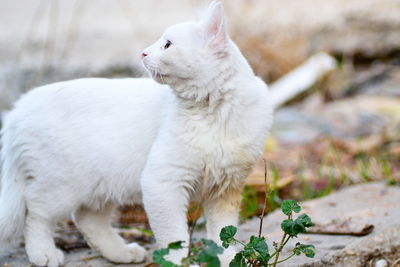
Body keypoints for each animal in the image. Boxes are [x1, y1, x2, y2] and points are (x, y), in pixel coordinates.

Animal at [0, 2, 272, 267]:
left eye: (167, 44)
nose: (143, 53)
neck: (214, 113)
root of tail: (19, 107)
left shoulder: (226, 188)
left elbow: (222, 233)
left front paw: (226, 259)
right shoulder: (163, 182)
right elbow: (174, 237)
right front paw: (178, 262)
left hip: (100, 182)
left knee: (88, 220)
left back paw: (121, 253)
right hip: (59, 185)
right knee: (35, 215)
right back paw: (43, 254)